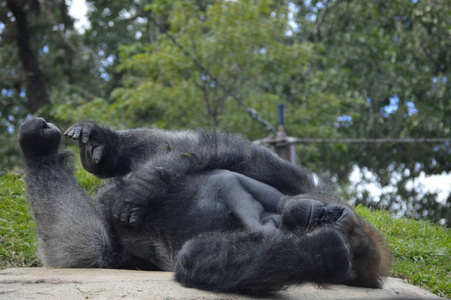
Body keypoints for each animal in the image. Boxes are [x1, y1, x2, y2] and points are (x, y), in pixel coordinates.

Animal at [18, 117, 392, 296]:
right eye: (327, 215)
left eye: (315, 225)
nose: (315, 217)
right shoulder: (302, 184)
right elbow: (231, 155)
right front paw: (144, 187)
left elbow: (203, 259)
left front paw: (321, 250)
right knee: (165, 147)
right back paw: (103, 146)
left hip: (102, 251)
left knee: (86, 246)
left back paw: (40, 155)